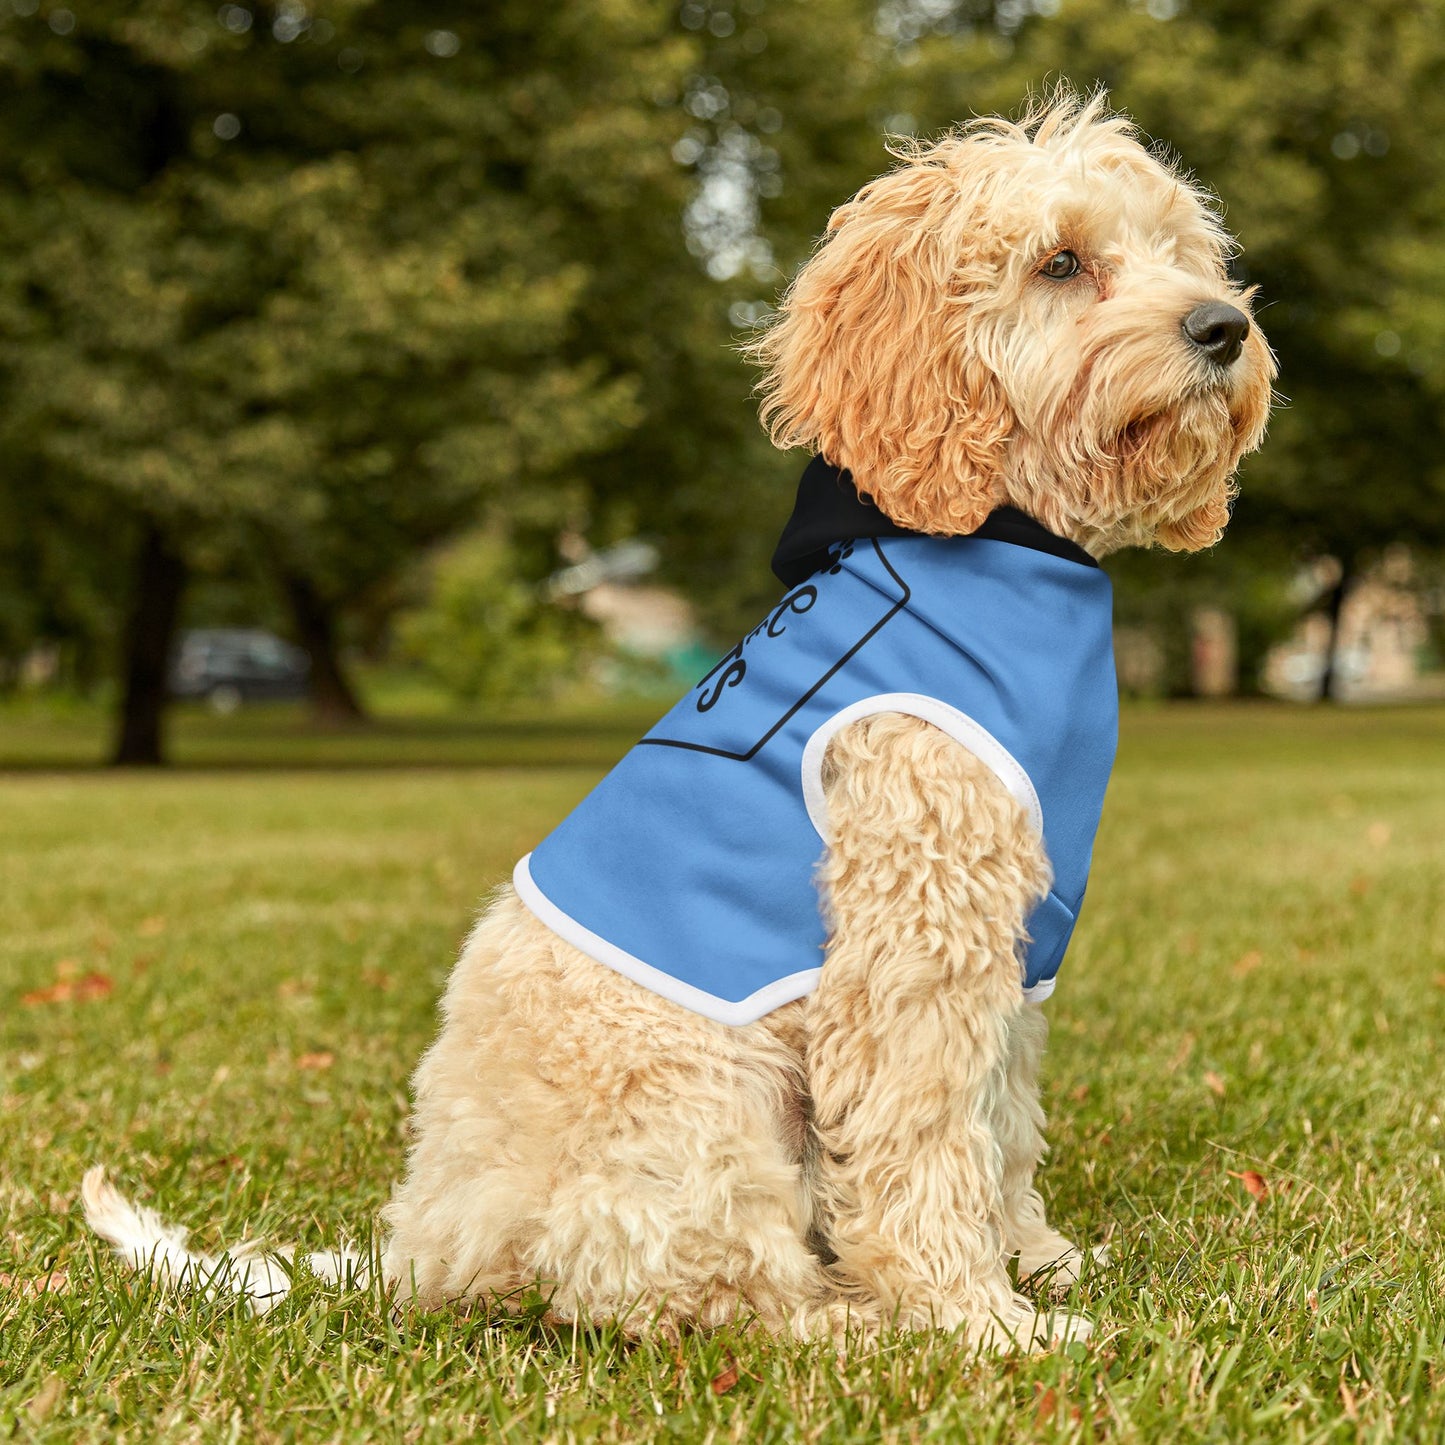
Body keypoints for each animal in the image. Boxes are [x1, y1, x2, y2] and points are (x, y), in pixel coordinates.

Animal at [82, 93, 1277, 1352]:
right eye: (1060, 262)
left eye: (1180, 252)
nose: (1222, 327)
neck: (1004, 540)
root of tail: (424, 1248)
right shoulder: (913, 936)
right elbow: (923, 1138)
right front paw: (974, 1318)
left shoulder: (1011, 942)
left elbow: (999, 1122)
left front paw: (1036, 1260)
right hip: (704, 1104)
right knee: (707, 1292)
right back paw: (854, 1321)